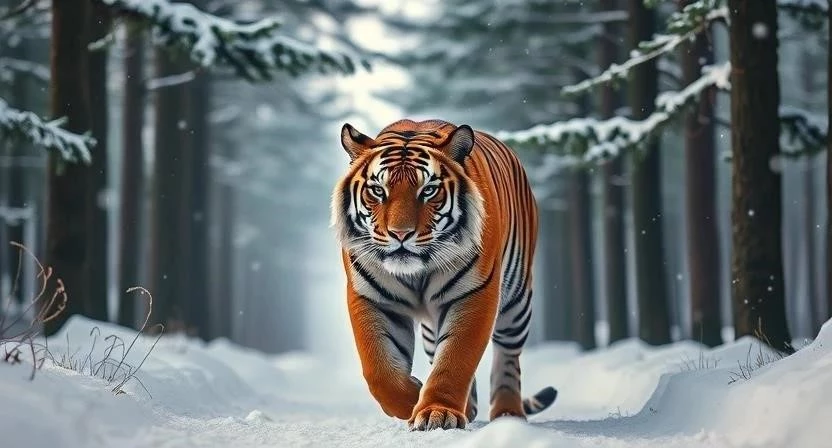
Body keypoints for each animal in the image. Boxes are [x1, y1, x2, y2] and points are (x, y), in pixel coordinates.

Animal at [330, 118, 557, 431]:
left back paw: (508, 414)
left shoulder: (476, 293)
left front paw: (436, 412)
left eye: (428, 190)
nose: (400, 234)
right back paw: (469, 409)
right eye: (378, 190)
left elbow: (455, 358)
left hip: (517, 302)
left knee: (508, 356)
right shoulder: (372, 297)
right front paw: (414, 397)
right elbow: (380, 371)